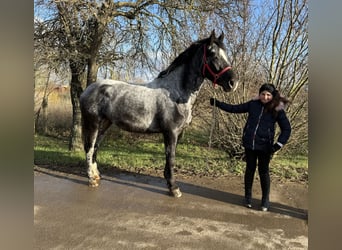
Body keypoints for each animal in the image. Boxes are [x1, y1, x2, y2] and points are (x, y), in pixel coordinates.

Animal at [79, 30, 238, 197]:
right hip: (93, 123)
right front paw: (174, 188)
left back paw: (97, 175)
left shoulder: (178, 134)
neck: (175, 92)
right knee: (89, 148)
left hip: (105, 124)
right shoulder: (170, 132)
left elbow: (170, 158)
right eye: (213, 53)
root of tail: (87, 90)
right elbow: (171, 158)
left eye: (225, 53)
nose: (233, 83)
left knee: (95, 147)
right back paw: (91, 179)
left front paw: (169, 183)